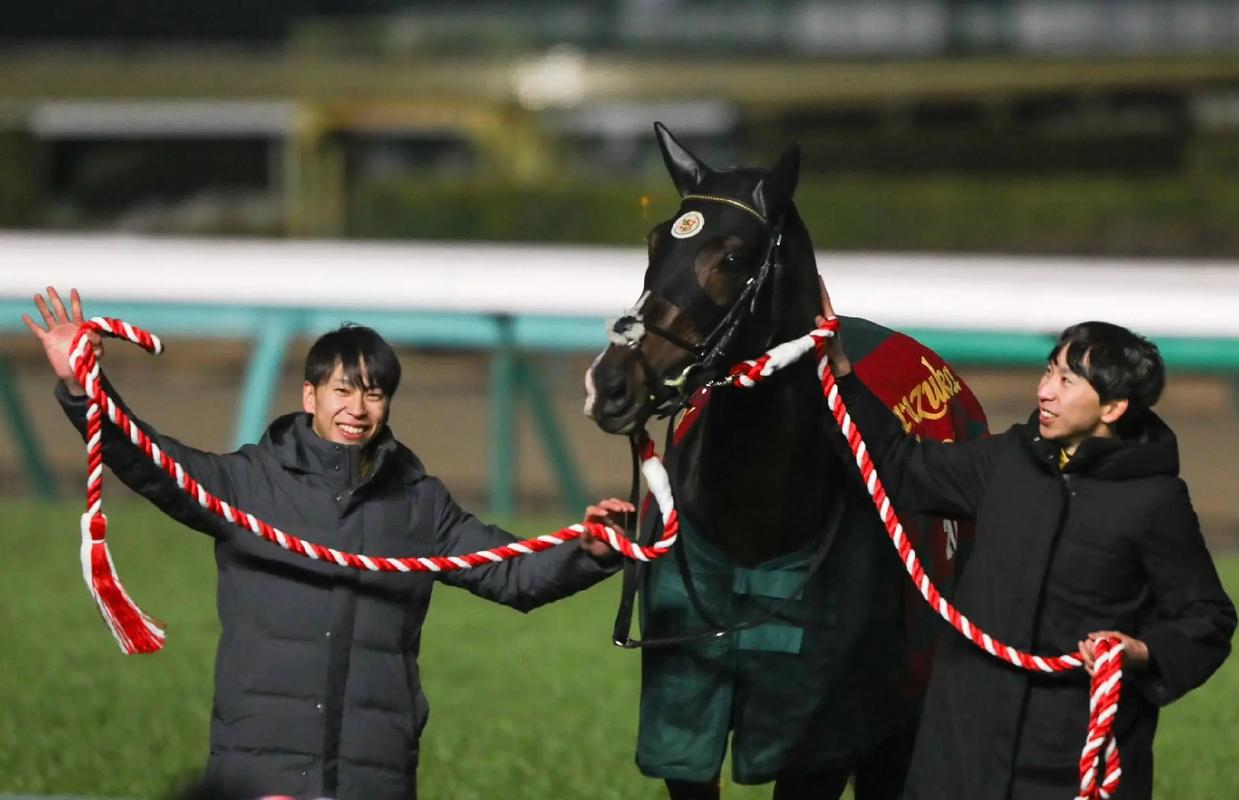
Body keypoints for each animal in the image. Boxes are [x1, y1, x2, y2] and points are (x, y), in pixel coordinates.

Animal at [582, 125, 986, 800]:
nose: (612, 385)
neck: (753, 530)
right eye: (656, 241)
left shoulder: (822, 734)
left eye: (731, 258)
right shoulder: (681, 719)